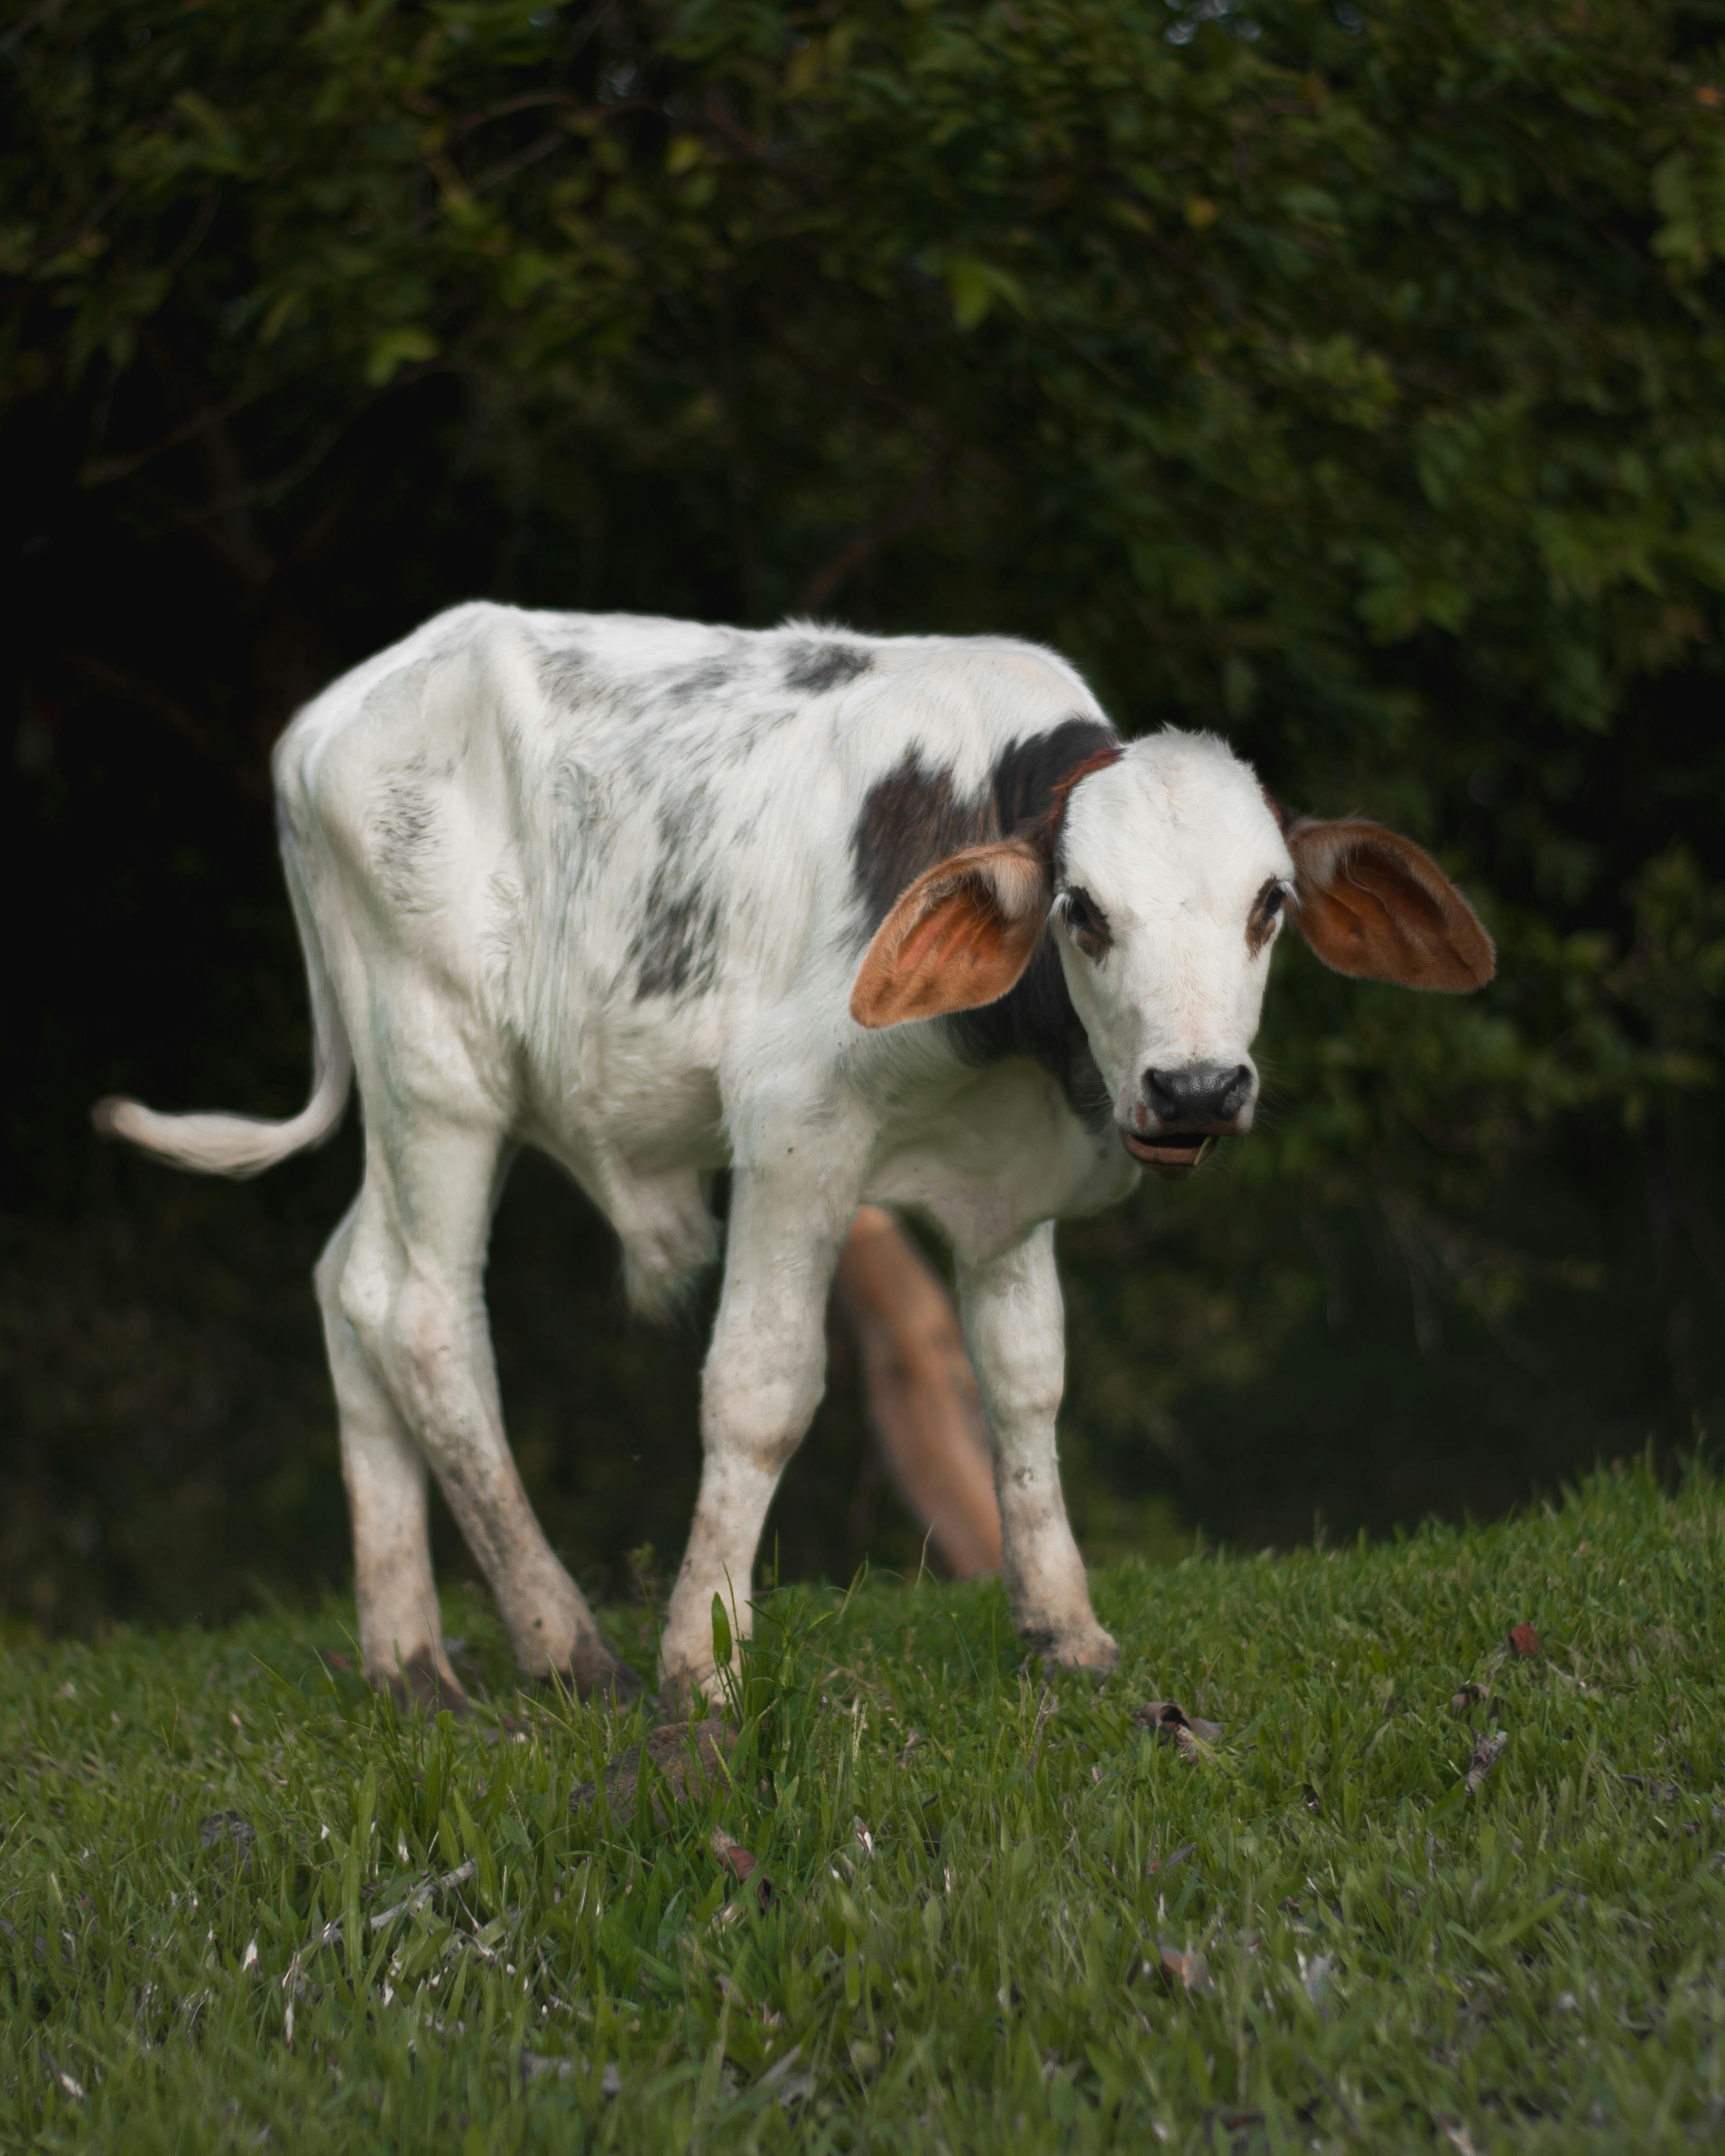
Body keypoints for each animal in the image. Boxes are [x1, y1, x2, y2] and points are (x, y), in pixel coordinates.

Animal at [94, 603, 1494, 1706]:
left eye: (1270, 906)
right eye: (1083, 908)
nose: (1195, 1086)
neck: (1022, 1063)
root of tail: (332, 714)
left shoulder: (1010, 1195)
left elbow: (1024, 1384)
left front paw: (1065, 1627)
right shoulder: (794, 1128)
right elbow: (762, 1390)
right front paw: (701, 1660)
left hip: (403, 1099)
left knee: (346, 1283)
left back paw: (408, 1658)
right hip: (438, 1067)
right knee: (419, 1310)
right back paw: (561, 1643)